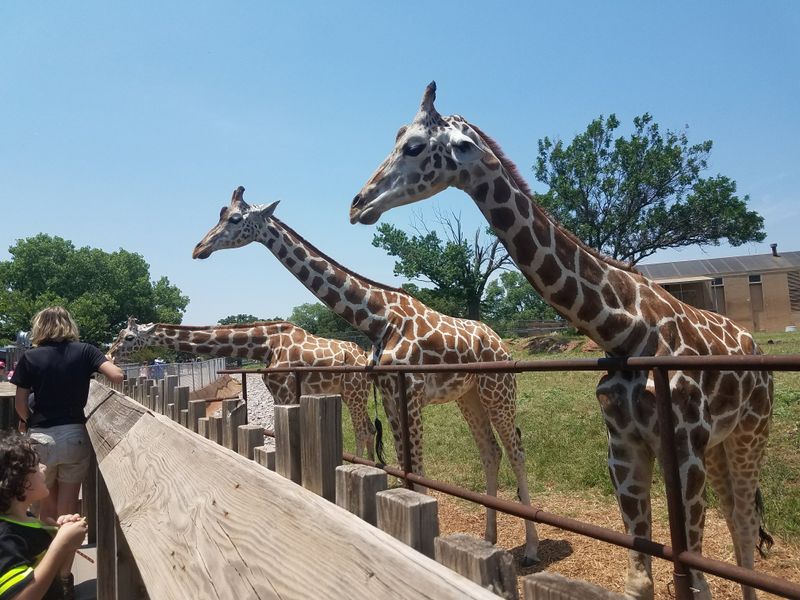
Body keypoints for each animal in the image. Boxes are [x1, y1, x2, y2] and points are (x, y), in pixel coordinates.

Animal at [107, 317, 376, 459]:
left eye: (129, 337)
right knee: (371, 429)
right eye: (118, 334)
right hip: (352, 392)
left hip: (354, 391)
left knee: (363, 431)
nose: (110, 354)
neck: (265, 346)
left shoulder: (286, 390)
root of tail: (364, 355)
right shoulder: (278, 393)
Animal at [192, 187, 540, 565]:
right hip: (469, 395)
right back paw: (490, 539)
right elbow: (405, 466)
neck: (378, 319)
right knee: (491, 451)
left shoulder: (410, 391)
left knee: (516, 450)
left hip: (498, 390)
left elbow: (417, 469)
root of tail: (502, 343)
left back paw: (531, 550)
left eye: (234, 219)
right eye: (220, 213)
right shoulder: (390, 395)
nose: (199, 248)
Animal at [349, 82, 773, 600]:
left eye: (412, 146)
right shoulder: (624, 445)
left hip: (750, 433)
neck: (628, 331)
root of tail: (754, 345)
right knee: (736, 520)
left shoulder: (684, 443)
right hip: (720, 443)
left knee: (744, 522)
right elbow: (641, 579)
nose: (358, 203)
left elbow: (692, 577)